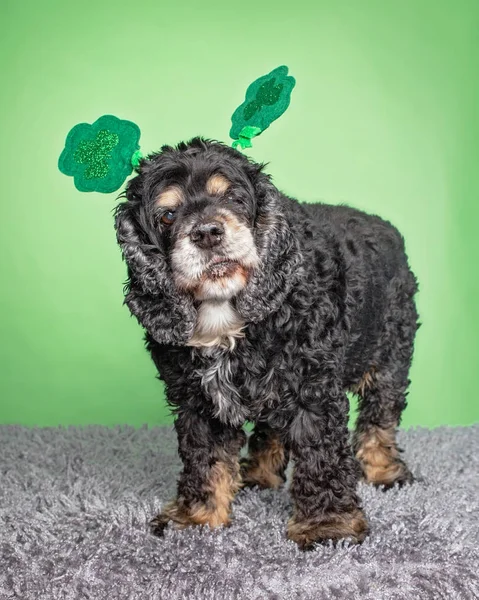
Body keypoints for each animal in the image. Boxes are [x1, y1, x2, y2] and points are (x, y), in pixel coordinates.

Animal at [113, 138, 420, 552]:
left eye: (233, 197)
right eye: (168, 215)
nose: (207, 233)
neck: (224, 317)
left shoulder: (313, 390)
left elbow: (321, 456)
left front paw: (328, 525)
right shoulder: (198, 401)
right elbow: (205, 459)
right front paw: (198, 516)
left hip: (390, 352)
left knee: (380, 415)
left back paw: (384, 470)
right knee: (271, 427)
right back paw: (259, 473)